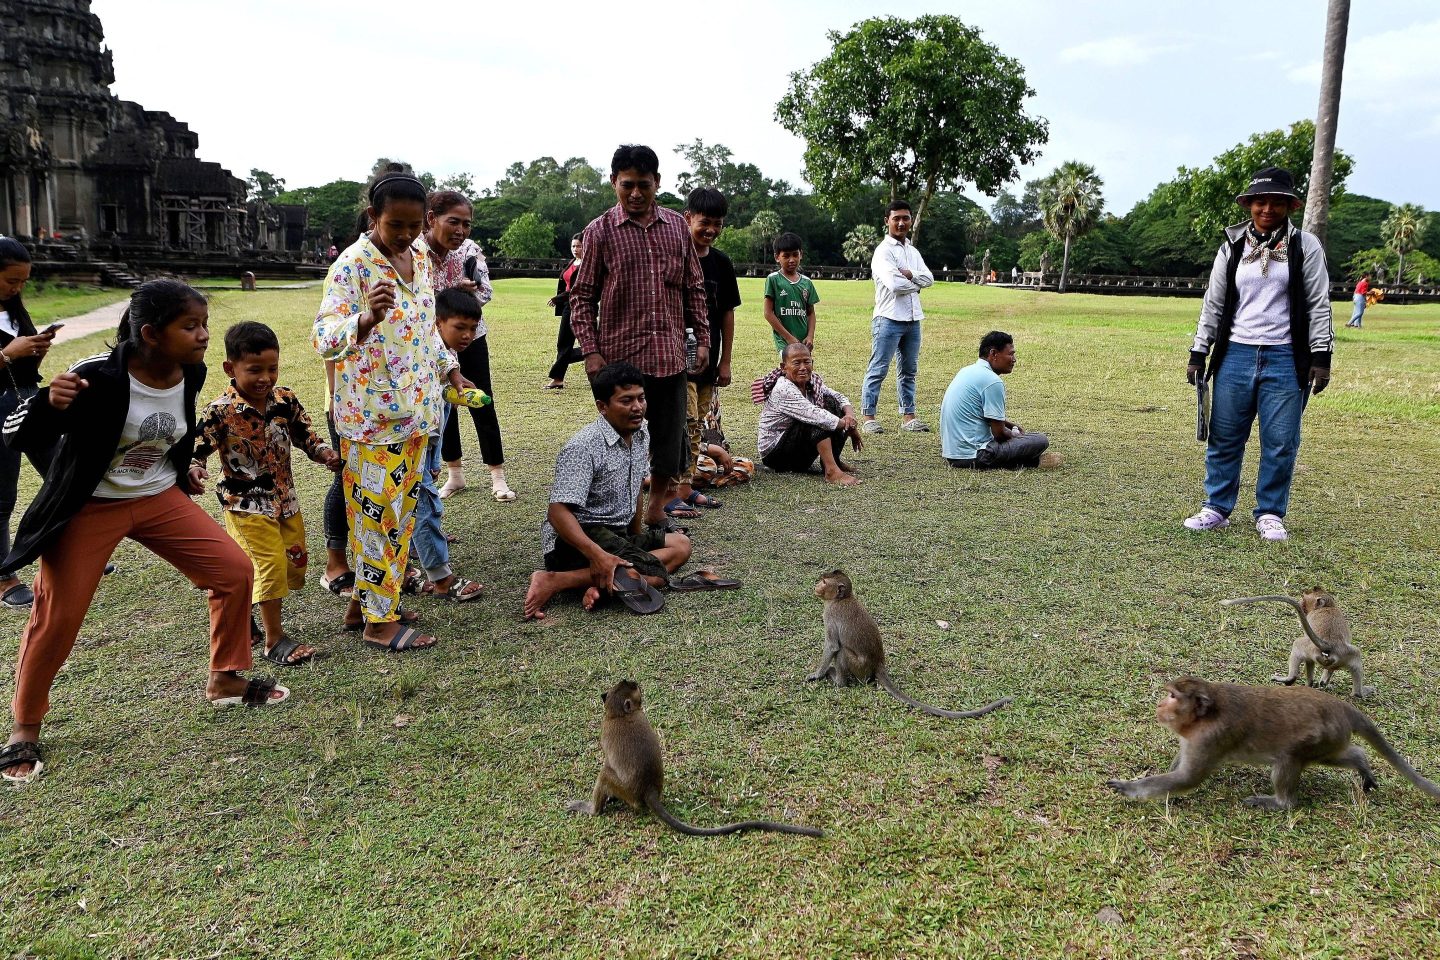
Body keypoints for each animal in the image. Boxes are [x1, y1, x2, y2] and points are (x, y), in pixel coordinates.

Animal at [566, 679, 824, 838]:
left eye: (633, 688)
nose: (636, 682)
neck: (618, 715)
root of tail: (649, 790)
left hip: (626, 791)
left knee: (605, 774)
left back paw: (593, 809)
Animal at [808, 570, 1012, 720]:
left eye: (825, 582)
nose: (816, 585)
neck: (841, 599)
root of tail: (878, 663)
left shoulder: (830, 615)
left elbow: (833, 646)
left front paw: (817, 675)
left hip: (860, 668)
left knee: (842, 651)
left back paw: (837, 680)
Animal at [1107, 677, 1440, 810]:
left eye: (1174, 696)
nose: (1160, 705)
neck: (1205, 717)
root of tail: (1342, 707)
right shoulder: (1192, 738)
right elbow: (1179, 768)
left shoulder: (1211, 738)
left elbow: (1187, 779)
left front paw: (1130, 788)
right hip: (1332, 739)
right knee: (1340, 754)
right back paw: (1362, 763)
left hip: (1319, 737)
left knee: (1289, 758)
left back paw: (1280, 803)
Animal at [1221, 587, 1373, 699]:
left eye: (1304, 599)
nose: (1301, 604)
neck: (1327, 606)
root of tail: (1328, 645)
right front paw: (1322, 682)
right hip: (1343, 653)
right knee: (1355, 657)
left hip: (1318, 649)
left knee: (1297, 644)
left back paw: (1290, 679)